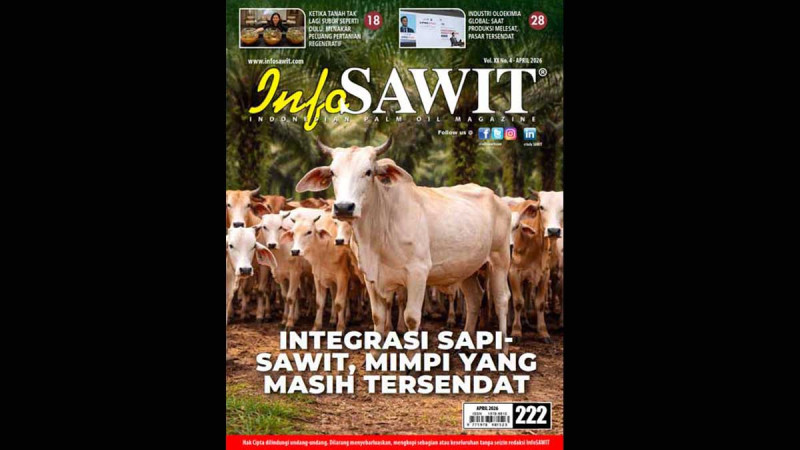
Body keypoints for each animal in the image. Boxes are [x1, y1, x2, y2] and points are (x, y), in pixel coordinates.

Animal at [296, 137, 514, 355]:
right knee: (475, 298)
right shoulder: (371, 277)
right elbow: (378, 317)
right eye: (333, 172)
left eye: (368, 171)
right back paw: (465, 346)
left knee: (502, 300)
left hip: (499, 260)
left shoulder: (418, 272)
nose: (343, 207)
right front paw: (374, 354)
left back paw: (503, 350)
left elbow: (412, 318)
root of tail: (497, 198)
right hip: (466, 267)